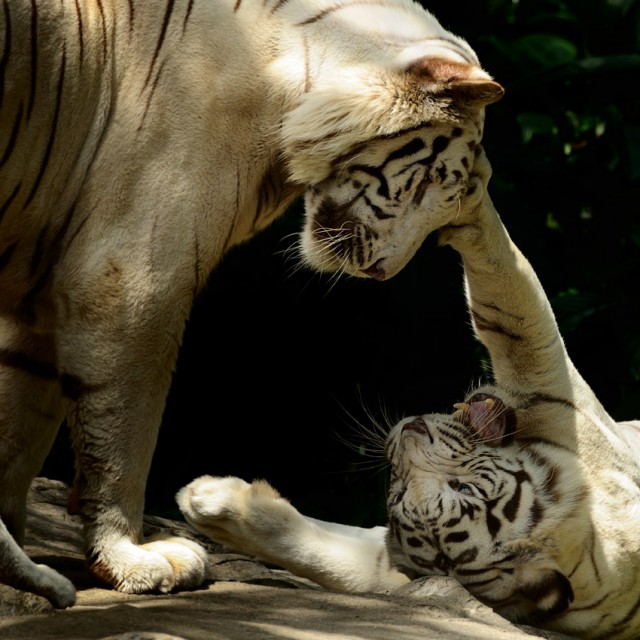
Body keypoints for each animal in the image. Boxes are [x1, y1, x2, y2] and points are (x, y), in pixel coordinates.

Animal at [0, 0, 504, 604]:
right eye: (431, 179)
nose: (384, 271)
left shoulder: (43, 286)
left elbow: (20, 426)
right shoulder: (131, 278)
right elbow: (125, 432)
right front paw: (133, 559)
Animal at [178, 146, 640, 640]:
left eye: (461, 487)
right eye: (400, 496)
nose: (411, 433)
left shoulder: (557, 397)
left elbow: (511, 307)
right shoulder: (392, 562)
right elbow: (320, 550)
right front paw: (212, 502)